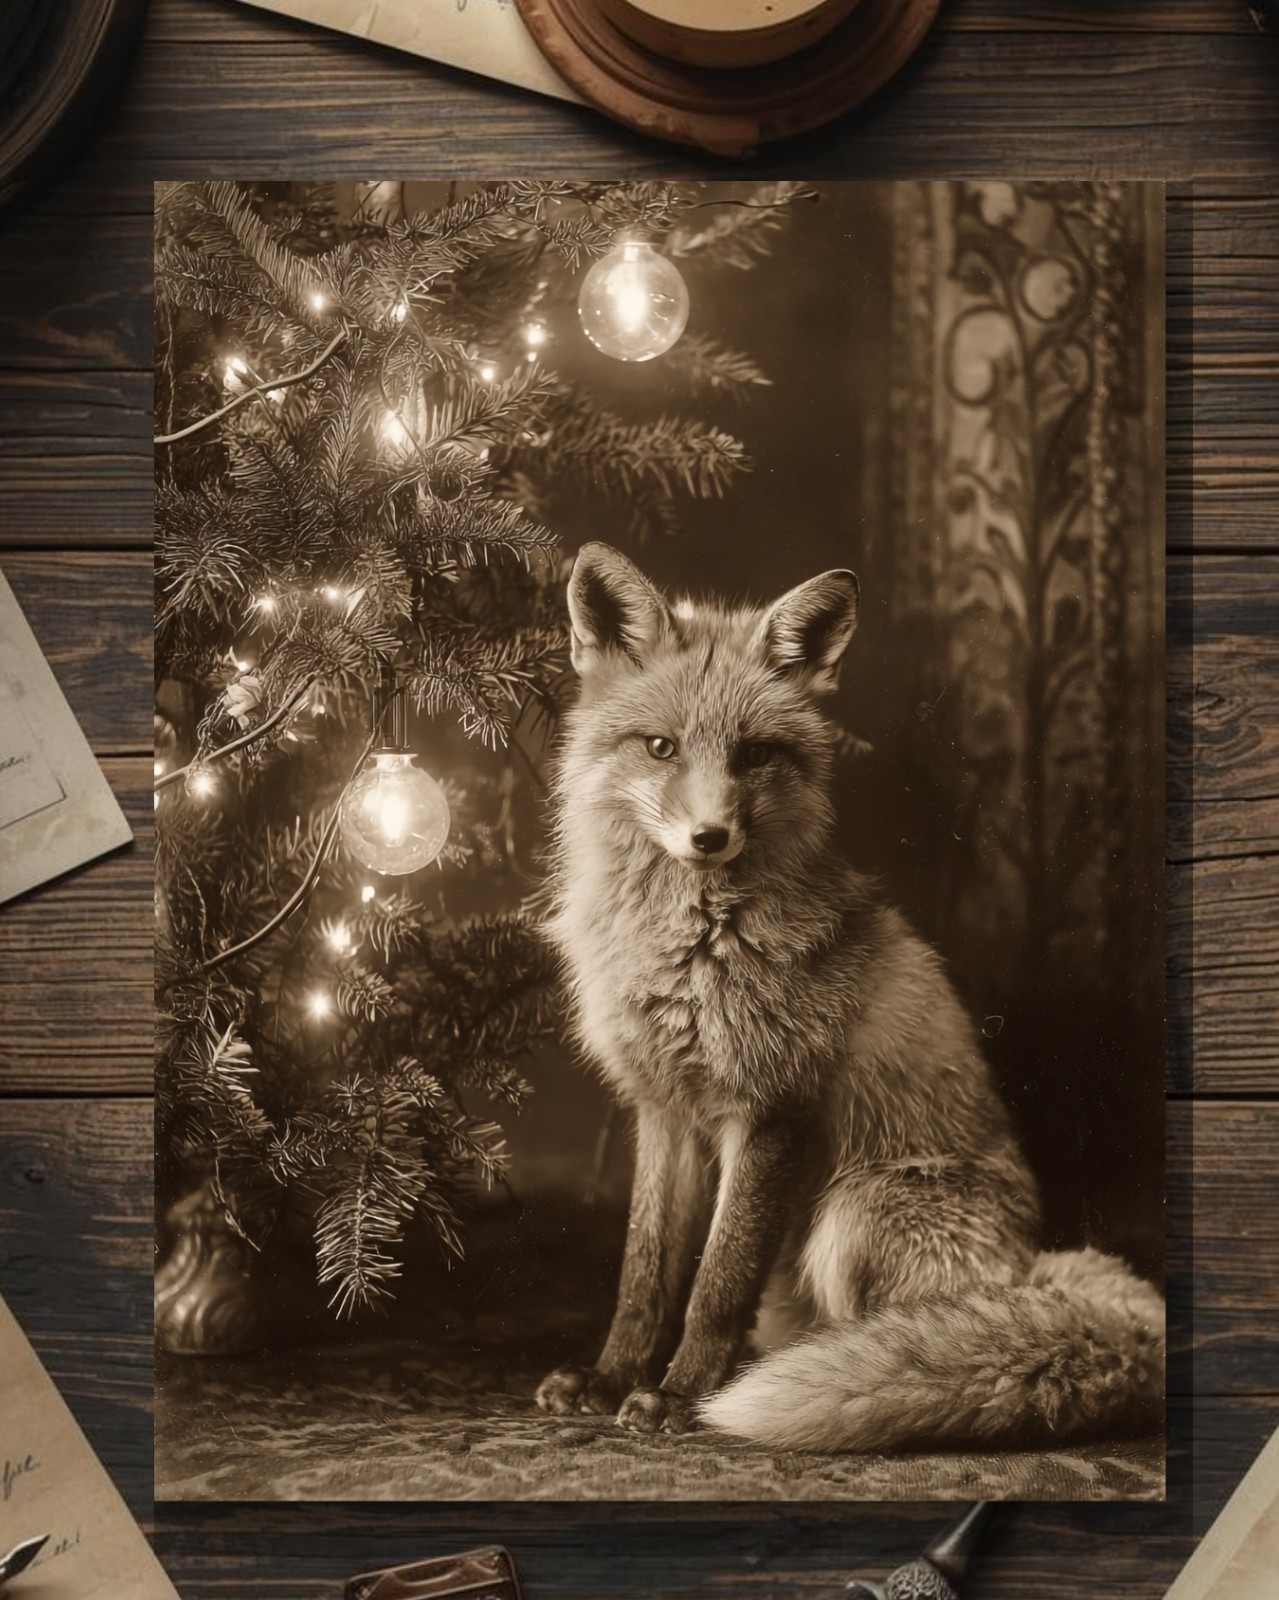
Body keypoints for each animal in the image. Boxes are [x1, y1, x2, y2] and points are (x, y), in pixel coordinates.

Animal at [535, 541, 1165, 1453]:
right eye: (659, 747)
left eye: (755, 755)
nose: (709, 837)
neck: (687, 943)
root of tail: (1031, 1267)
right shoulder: (663, 1109)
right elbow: (644, 1274)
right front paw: (611, 1377)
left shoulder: (772, 1108)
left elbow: (715, 1281)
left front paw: (679, 1396)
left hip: (853, 1213)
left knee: (889, 1334)